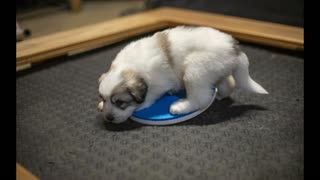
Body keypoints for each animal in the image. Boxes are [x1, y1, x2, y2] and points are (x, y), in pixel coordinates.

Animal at [99, 25, 268, 124]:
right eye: (104, 99)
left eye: (120, 102)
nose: (108, 118)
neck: (129, 67)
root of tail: (234, 48)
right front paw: (101, 105)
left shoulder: (158, 84)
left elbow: (150, 96)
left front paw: (140, 106)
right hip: (217, 68)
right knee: (228, 83)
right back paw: (221, 95)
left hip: (195, 70)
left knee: (201, 99)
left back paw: (180, 106)